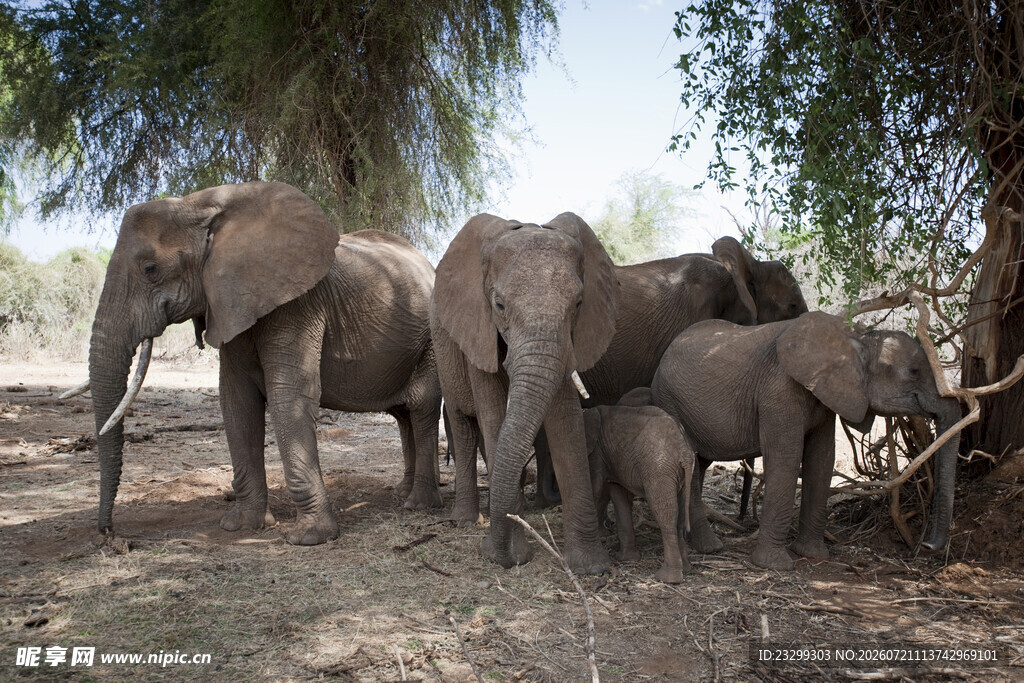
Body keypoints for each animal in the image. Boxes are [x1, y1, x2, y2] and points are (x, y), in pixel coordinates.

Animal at [85, 181, 442, 545]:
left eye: (150, 269)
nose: (109, 533)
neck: (201, 204)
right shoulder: (230, 304)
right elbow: (237, 401)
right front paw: (242, 526)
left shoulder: (297, 303)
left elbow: (287, 397)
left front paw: (309, 538)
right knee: (404, 416)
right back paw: (402, 493)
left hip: (431, 341)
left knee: (422, 408)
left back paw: (418, 505)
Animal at [430, 212, 619, 573]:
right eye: (499, 305)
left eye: (578, 304)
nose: (492, 553)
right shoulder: (478, 328)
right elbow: (492, 416)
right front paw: (507, 555)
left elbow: (566, 423)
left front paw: (592, 567)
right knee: (464, 425)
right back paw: (467, 521)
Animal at [583, 403, 695, 583]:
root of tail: (684, 451)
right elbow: (619, 495)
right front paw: (626, 559)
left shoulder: (598, 453)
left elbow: (597, 489)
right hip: (682, 473)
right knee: (680, 513)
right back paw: (685, 569)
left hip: (659, 470)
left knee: (665, 514)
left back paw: (668, 578)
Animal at [651, 311, 962, 570]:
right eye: (914, 372)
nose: (925, 545)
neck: (856, 341)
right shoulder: (778, 390)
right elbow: (786, 460)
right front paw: (775, 565)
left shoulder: (826, 397)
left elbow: (821, 459)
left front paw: (813, 555)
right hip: (670, 400)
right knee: (691, 464)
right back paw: (711, 548)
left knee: (699, 464)